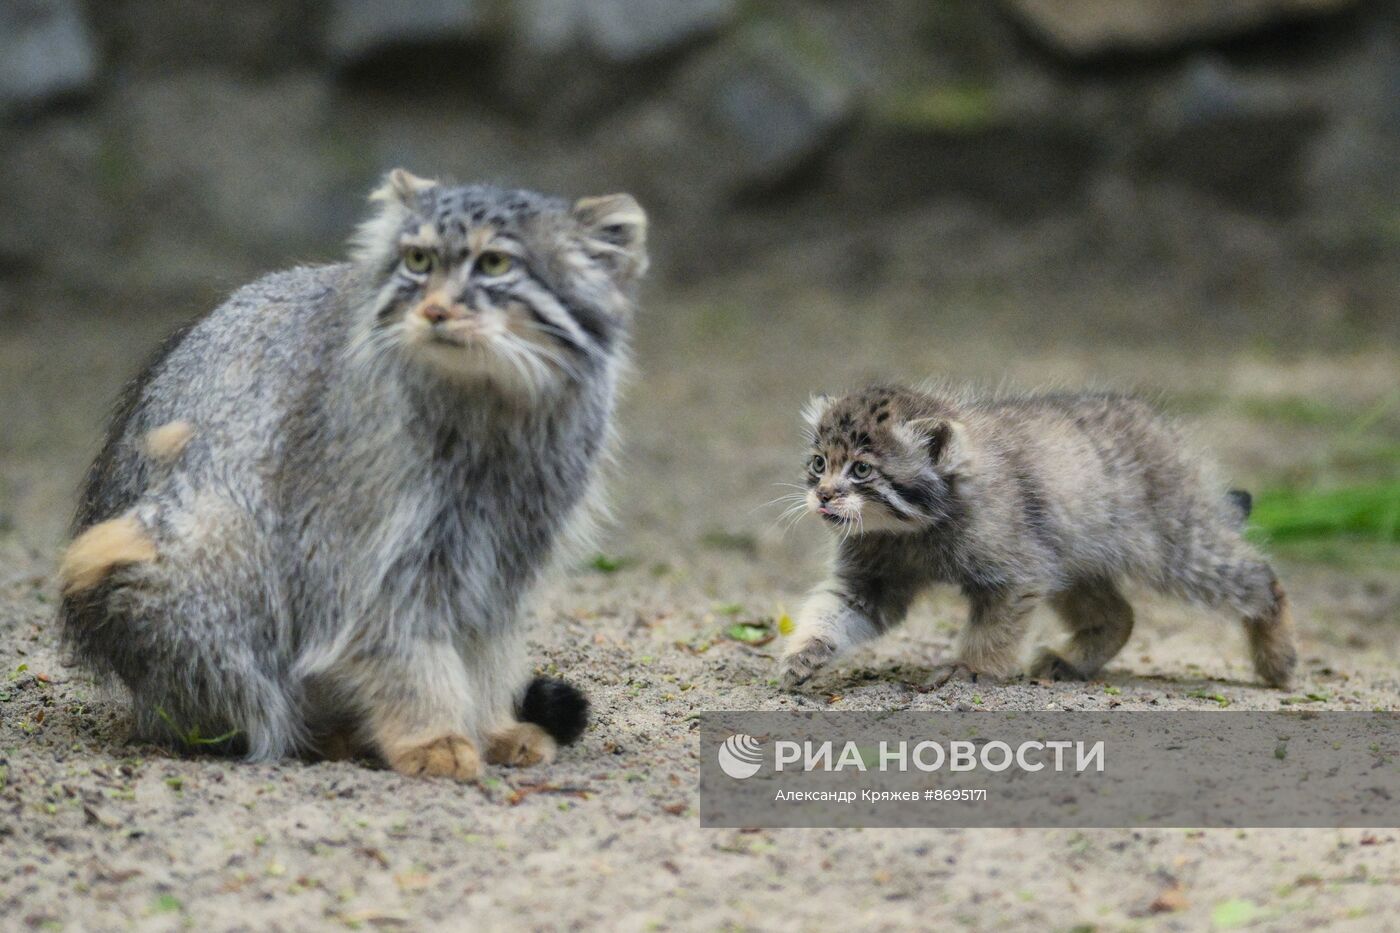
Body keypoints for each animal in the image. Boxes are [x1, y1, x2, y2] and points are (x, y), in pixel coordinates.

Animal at [56, 168, 644, 778]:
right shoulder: (362, 554)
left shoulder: (506, 549)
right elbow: (396, 642)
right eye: (417, 260)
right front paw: (432, 735)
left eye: (495, 264)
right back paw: (320, 734)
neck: (491, 410)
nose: (435, 311)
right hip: (201, 541)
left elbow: (485, 645)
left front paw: (490, 725)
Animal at [784, 381, 1293, 686]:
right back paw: (1068, 662)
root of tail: (1163, 429)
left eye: (861, 470)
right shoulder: (868, 582)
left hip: (1175, 547)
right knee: (1121, 614)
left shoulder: (1015, 576)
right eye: (819, 463)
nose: (823, 495)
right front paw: (805, 653)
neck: (910, 531)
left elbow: (991, 632)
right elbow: (829, 611)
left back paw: (1279, 661)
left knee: (1261, 576)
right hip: (1071, 561)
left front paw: (969, 668)